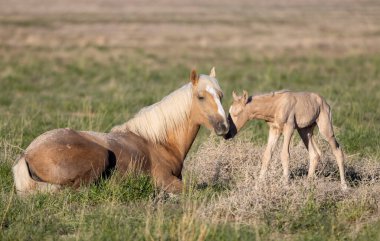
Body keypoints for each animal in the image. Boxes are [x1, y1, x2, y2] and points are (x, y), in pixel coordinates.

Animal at [12, 67, 229, 195]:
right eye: (201, 97)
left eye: (221, 96)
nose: (224, 127)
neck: (158, 142)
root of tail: (27, 154)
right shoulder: (166, 180)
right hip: (100, 155)